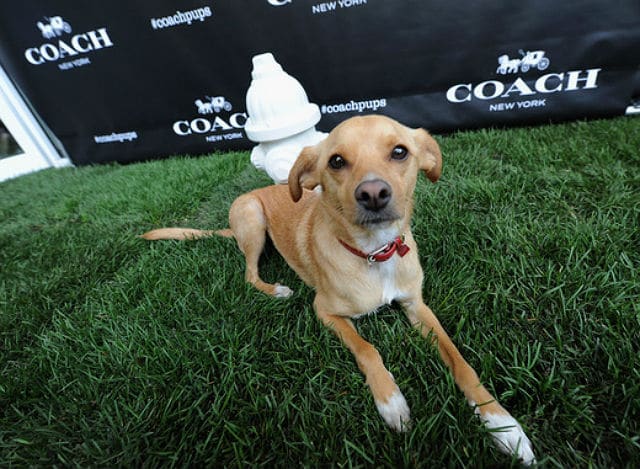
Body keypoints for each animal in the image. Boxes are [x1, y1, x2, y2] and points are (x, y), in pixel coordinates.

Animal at [141, 115, 536, 462]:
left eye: (400, 152)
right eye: (336, 161)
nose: (373, 193)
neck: (374, 254)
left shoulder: (417, 306)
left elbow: (460, 362)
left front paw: (503, 425)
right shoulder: (325, 312)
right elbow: (367, 349)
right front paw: (391, 401)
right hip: (252, 220)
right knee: (249, 275)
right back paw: (276, 291)